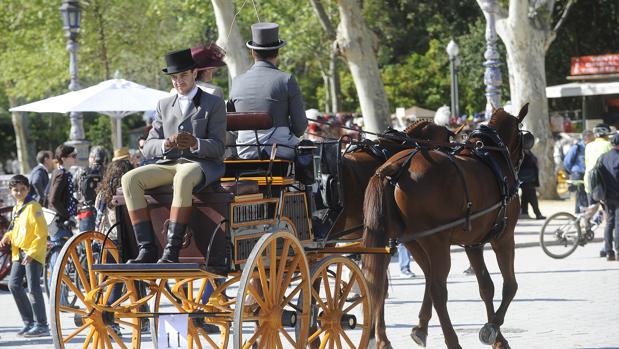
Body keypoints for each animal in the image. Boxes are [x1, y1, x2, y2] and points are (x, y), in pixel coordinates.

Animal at [364, 106, 528, 348]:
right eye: (521, 136)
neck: (491, 157)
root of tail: (394, 166)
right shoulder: (504, 237)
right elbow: (510, 285)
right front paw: (493, 327)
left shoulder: (473, 244)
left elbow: (486, 287)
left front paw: (497, 337)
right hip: (436, 243)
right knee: (438, 290)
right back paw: (451, 340)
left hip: (407, 241)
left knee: (379, 284)